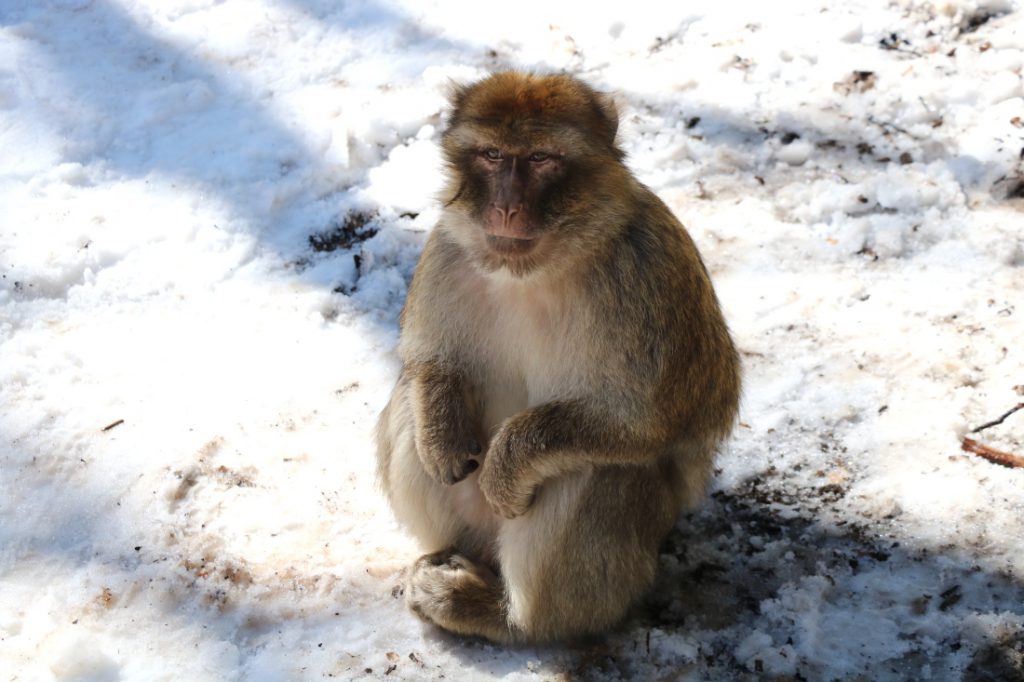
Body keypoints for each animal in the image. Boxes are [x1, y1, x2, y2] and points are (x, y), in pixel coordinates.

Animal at [372, 71, 741, 638]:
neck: (536, 269)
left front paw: (505, 466)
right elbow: (430, 365)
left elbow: (645, 423)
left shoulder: (644, 275)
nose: (505, 207)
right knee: (407, 411)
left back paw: (506, 618)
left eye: (541, 158)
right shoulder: (444, 252)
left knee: (597, 473)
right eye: (492, 155)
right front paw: (441, 436)